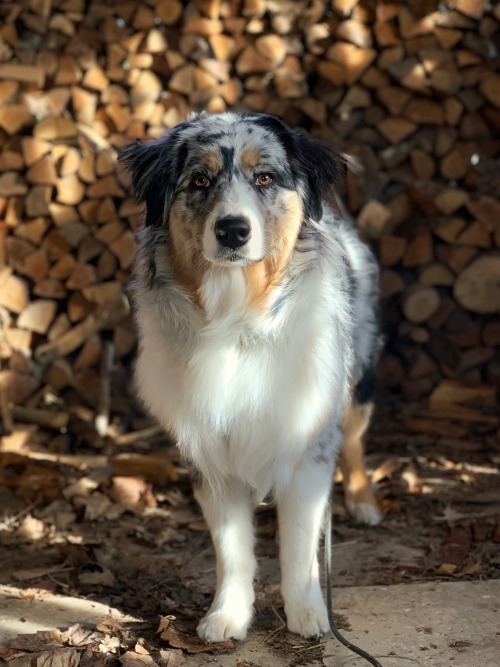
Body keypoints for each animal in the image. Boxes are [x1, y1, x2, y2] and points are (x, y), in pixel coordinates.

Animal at [121, 112, 382, 644]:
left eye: (264, 178)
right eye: (200, 181)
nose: (232, 230)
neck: (236, 318)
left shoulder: (308, 443)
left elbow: (300, 543)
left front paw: (308, 613)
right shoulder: (208, 451)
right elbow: (232, 548)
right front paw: (228, 615)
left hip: (357, 378)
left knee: (355, 439)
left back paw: (363, 501)